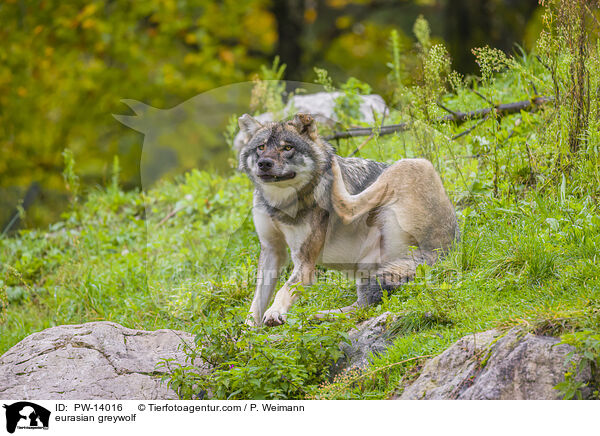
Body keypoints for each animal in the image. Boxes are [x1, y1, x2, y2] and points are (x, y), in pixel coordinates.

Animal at [237, 113, 458, 328]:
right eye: (261, 147)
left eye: (287, 148)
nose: (264, 163)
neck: (280, 203)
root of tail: (445, 250)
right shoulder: (272, 250)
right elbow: (257, 299)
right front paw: (248, 329)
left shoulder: (305, 262)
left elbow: (284, 289)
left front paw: (274, 313)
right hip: (369, 270)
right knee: (362, 307)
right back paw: (318, 317)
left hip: (413, 164)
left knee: (348, 209)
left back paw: (332, 163)